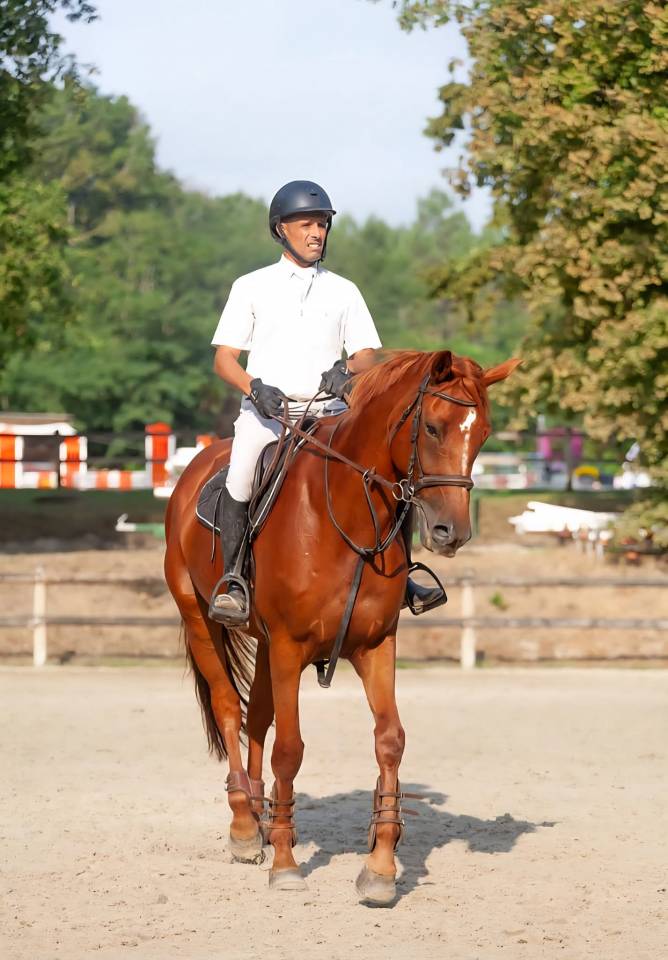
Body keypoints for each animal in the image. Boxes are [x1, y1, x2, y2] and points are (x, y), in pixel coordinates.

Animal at [164, 348, 520, 902]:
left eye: (482, 433)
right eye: (433, 428)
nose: (451, 533)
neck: (346, 516)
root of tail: (196, 466)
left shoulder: (374, 644)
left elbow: (390, 740)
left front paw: (380, 868)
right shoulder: (289, 645)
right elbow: (290, 750)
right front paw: (286, 864)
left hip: (265, 643)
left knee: (257, 717)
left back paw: (262, 817)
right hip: (200, 616)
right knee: (227, 707)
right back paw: (245, 828)